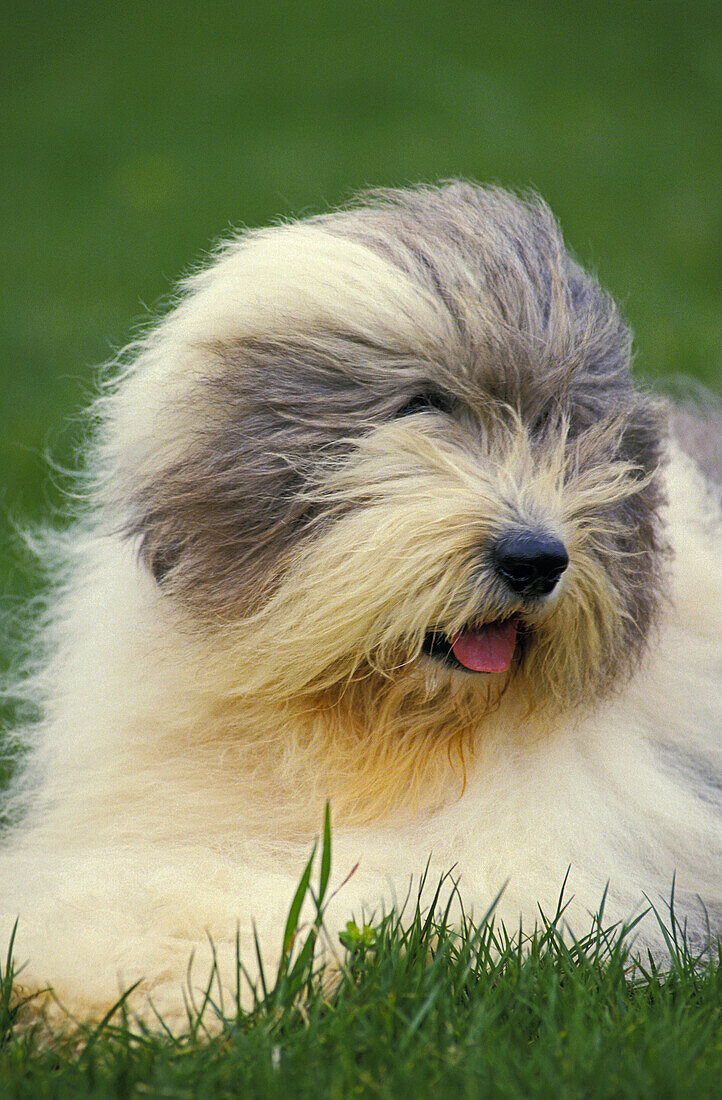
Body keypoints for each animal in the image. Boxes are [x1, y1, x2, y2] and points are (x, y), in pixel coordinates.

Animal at [1, 182, 722, 1029]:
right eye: (422, 407)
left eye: (566, 423)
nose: (536, 560)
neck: (367, 729)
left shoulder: (531, 872)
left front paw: (137, 977)